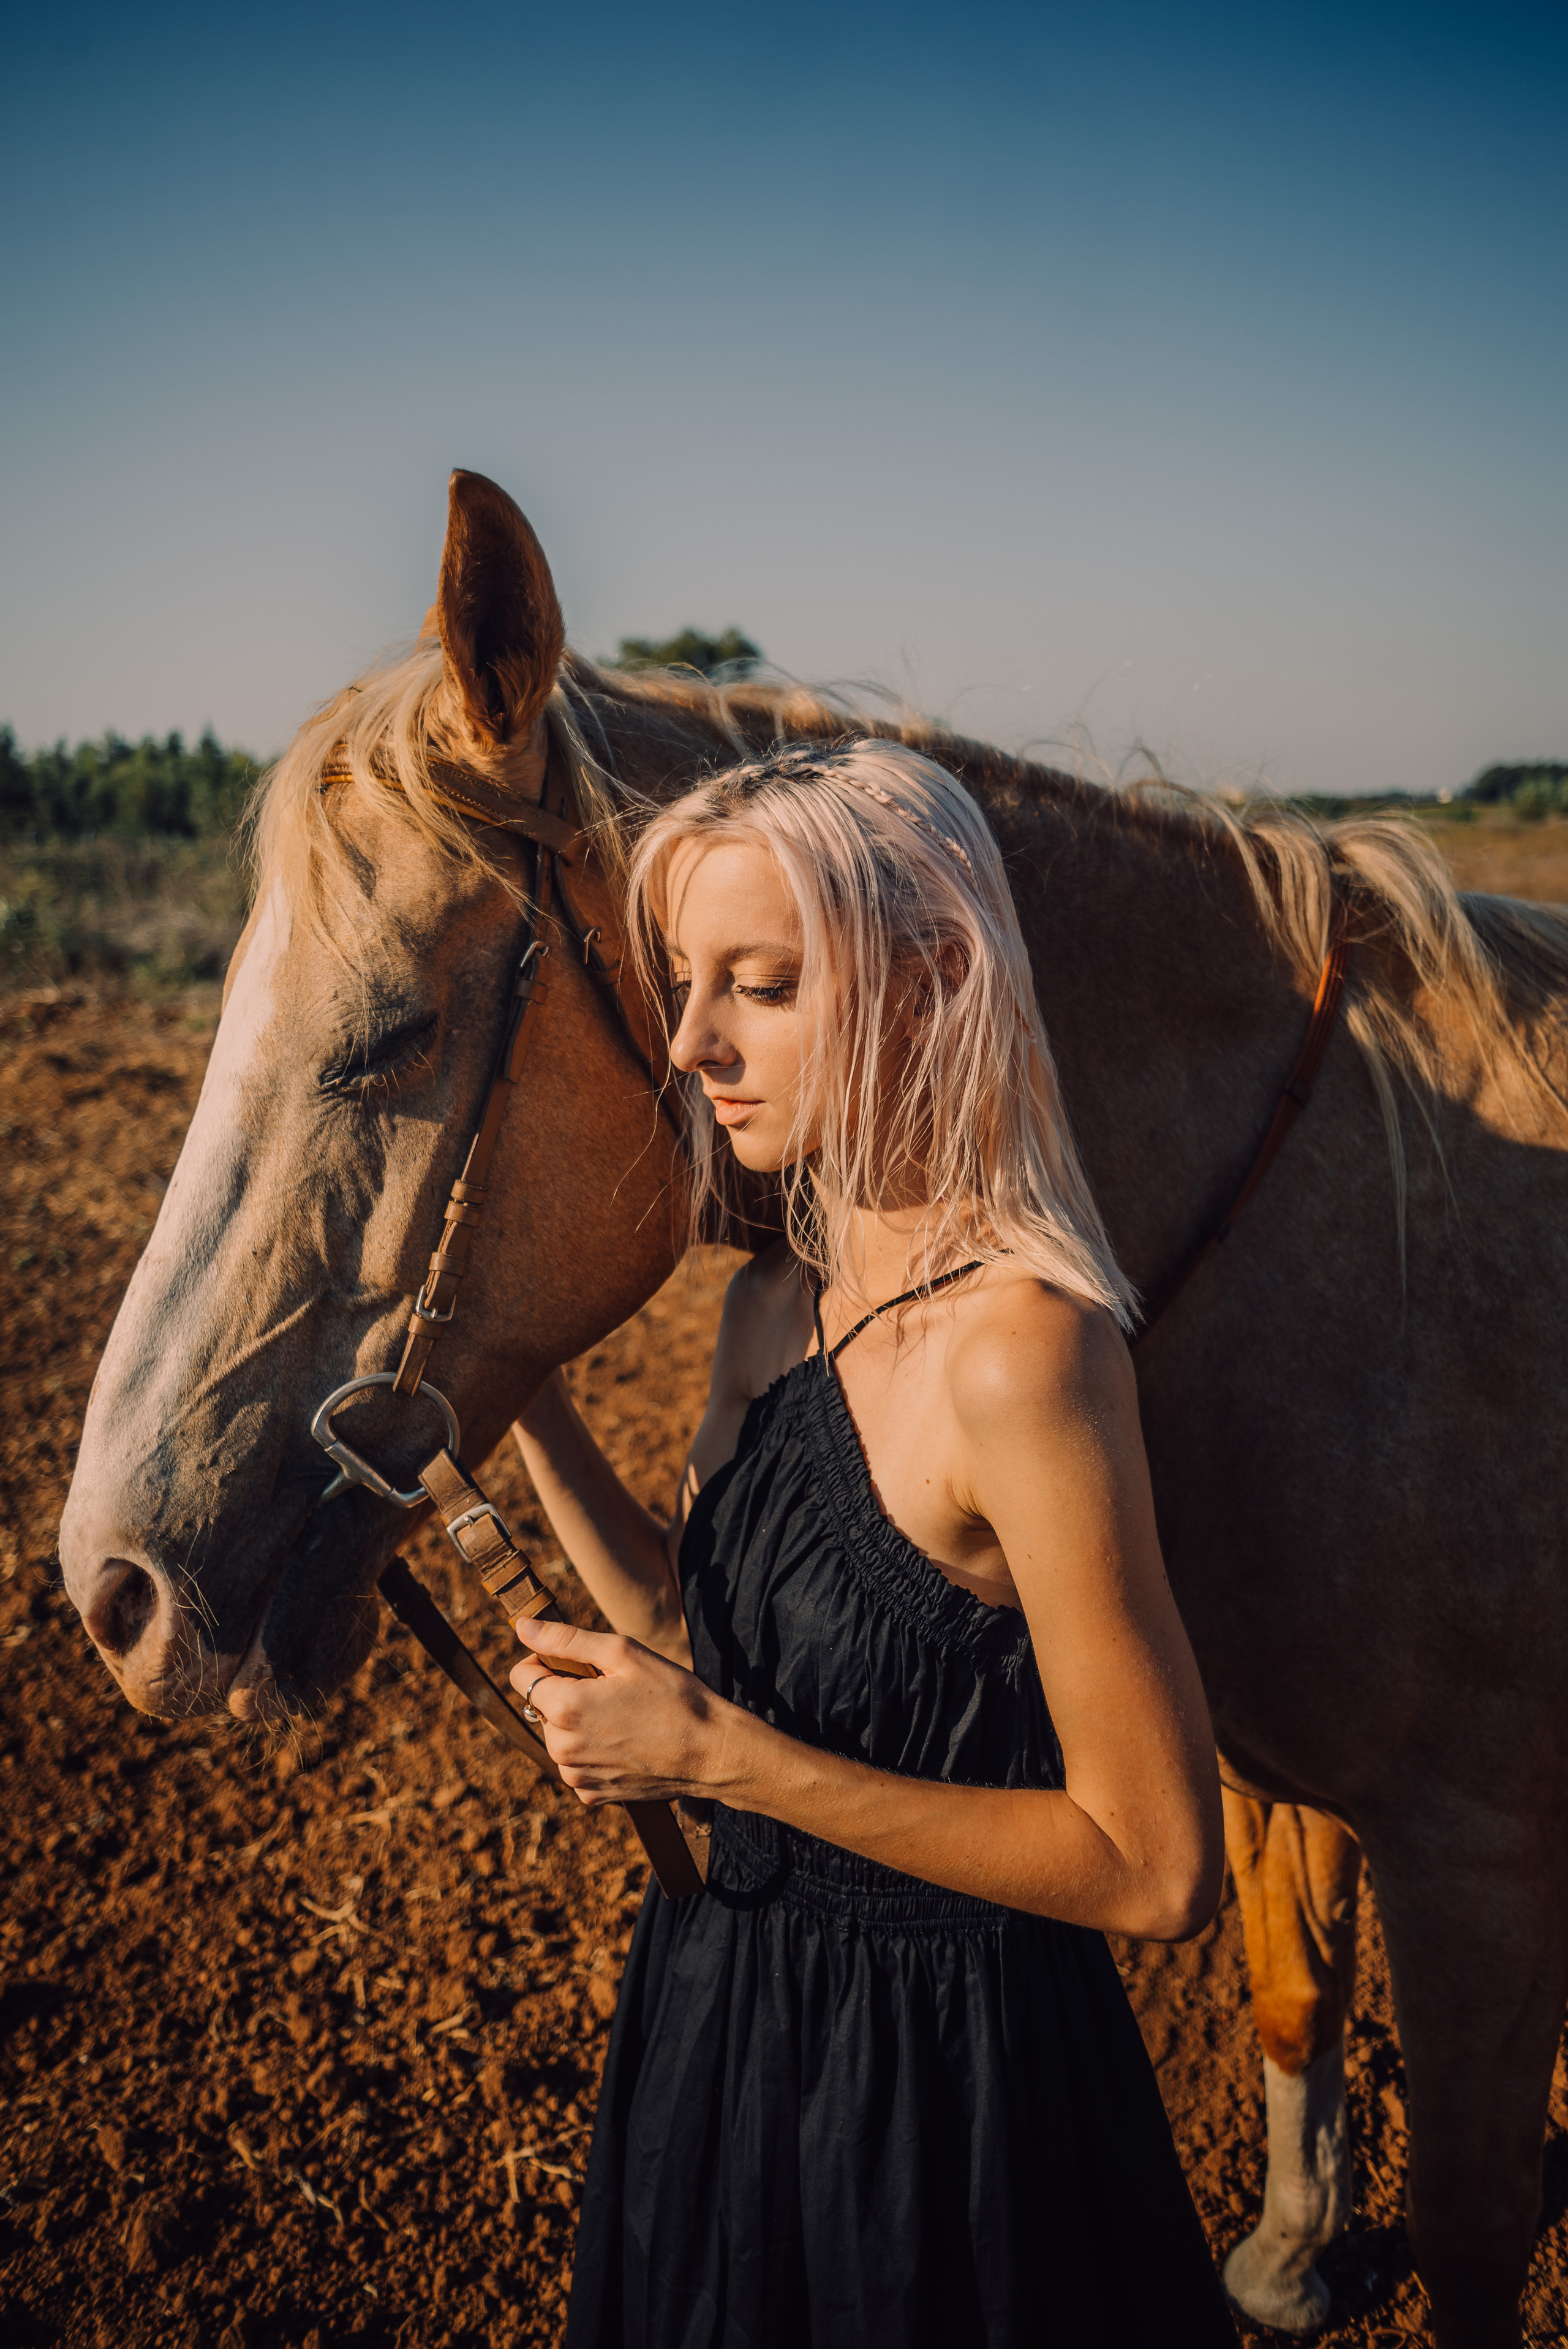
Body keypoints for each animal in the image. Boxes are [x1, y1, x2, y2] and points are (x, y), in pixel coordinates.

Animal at [59, 471, 1568, 2348]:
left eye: (391, 1032)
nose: (113, 1589)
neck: (1352, 1261)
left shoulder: (1475, 1859)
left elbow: (1475, 2222)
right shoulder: (1280, 1776)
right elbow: (1294, 1985)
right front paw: (1291, 2253)